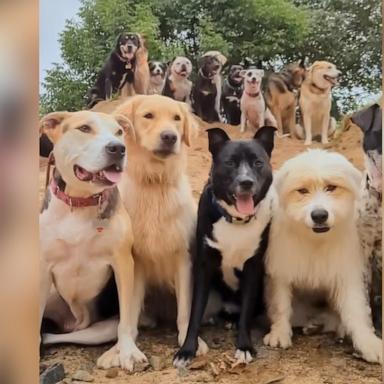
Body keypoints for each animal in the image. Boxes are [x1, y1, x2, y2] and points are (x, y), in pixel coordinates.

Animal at [39, 110, 146, 368]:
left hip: (98, 330)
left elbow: (125, 320)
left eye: (119, 132)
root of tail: (75, 322)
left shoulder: (123, 263)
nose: (118, 148)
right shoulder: (42, 270)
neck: (80, 201)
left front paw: (127, 352)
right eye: (84, 128)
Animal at [173, 125, 276, 366]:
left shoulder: (252, 269)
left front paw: (244, 346)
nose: (246, 182)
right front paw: (187, 350)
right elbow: (194, 313)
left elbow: (246, 312)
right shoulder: (204, 268)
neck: (235, 221)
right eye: (230, 163)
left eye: (258, 162)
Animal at [262, 149, 382, 364]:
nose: (319, 215)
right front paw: (279, 333)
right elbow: (280, 304)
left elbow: (358, 310)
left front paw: (369, 343)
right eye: (302, 191)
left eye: (331, 187)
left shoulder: (346, 274)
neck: (315, 240)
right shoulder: (280, 271)